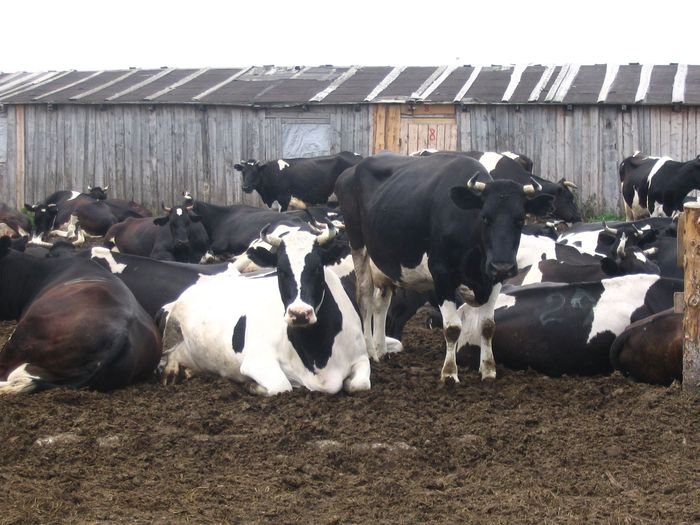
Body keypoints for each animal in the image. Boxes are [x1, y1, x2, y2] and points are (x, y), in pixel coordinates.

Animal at [160, 219, 372, 396]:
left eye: (318, 268)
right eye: (280, 270)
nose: (299, 314)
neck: (317, 355)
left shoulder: (361, 357)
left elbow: (360, 384)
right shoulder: (257, 361)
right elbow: (282, 385)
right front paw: (252, 385)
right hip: (170, 325)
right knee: (166, 356)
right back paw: (171, 372)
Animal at [336, 151, 556, 380]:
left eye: (520, 219)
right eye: (485, 217)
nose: (503, 266)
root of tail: (351, 170)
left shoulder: (493, 279)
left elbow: (488, 326)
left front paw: (488, 370)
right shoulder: (442, 274)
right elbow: (452, 328)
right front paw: (449, 373)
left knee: (382, 303)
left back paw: (381, 351)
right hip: (357, 244)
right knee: (365, 297)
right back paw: (370, 352)